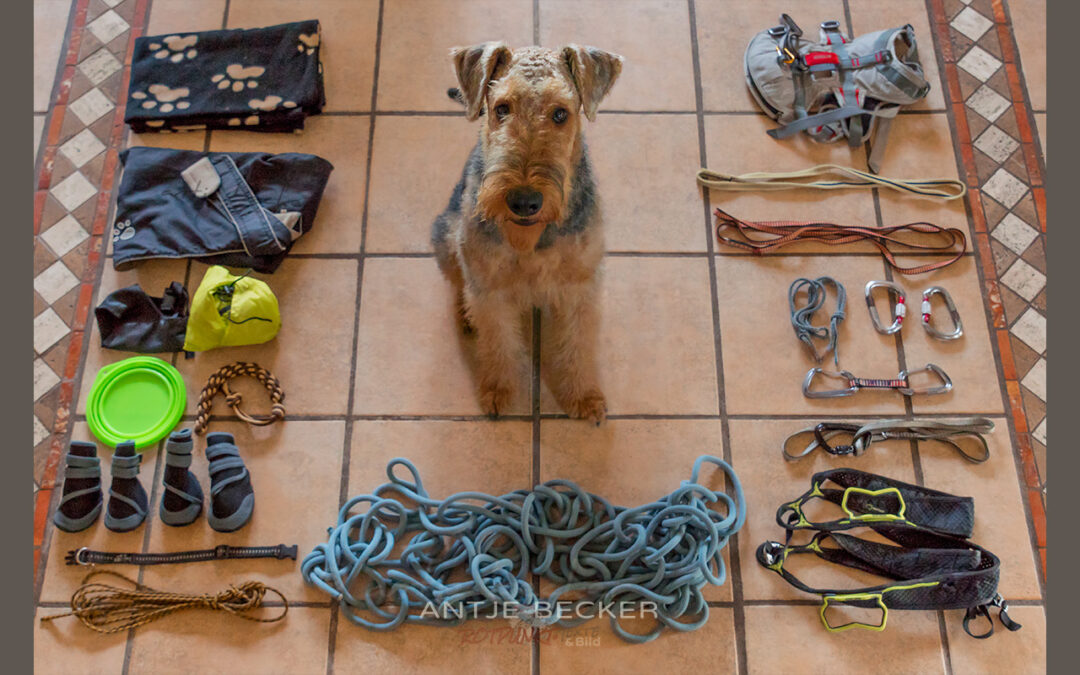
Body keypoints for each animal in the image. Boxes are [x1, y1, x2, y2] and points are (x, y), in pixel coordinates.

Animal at [432, 40, 626, 421]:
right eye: (501, 108)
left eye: (561, 113)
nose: (523, 201)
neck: (531, 241)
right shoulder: (490, 288)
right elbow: (498, 343)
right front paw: (497, 391)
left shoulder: (581, 286)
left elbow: (578, 345)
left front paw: (584, 396)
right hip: (446, 238)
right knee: (460, 283)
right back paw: (466, 314)